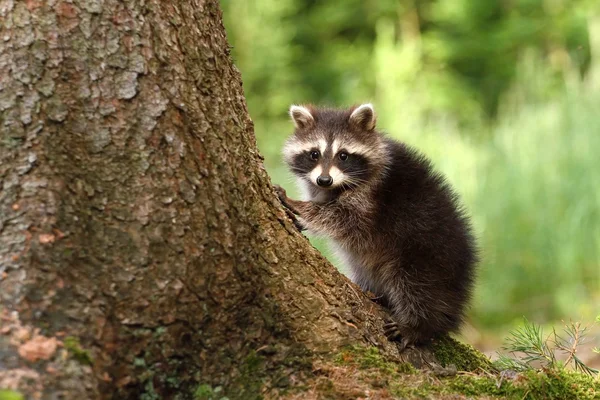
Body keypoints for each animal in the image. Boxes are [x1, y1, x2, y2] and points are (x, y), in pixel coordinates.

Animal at [276, 104, 478, 350]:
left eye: (343, 155)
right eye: (314, 154)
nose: (324, 180)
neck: (337, 186)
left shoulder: (371, 198)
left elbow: (343, 218)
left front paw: (301, 208)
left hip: (427, 254)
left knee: (418, 287)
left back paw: (419, 326)